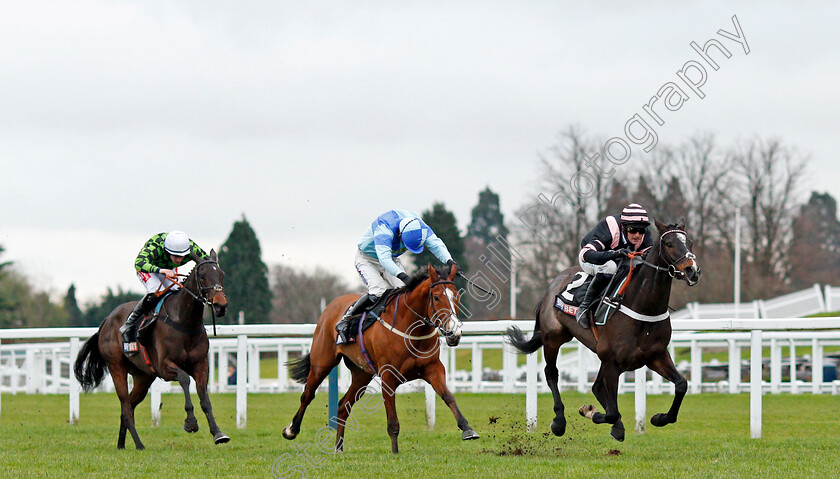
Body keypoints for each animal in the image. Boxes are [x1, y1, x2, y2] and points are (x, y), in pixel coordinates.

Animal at [72, 251, 228, 450]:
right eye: (202, 275)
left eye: (221, 274)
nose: (220, 305)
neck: (184, 323)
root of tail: (106, 321)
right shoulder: (165, 366)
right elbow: (184, 379)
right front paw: (191, 422)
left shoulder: (201, 365)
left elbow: (205, 398)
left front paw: (218, 433)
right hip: (117, 368)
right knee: (126, 407)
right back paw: (139, 445)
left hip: (143, 377)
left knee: (128, 407)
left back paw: (121, 445)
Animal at [284, 264, 476, 456]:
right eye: (436, 297)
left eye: (456, 296)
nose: (454, 333)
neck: (411, 328)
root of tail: (330, 307)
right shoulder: (388, 376)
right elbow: (392, 421)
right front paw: (395, 452)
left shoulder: (432, 368)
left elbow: (448, 396)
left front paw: (467, 429)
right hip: (322, 362)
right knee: (307, 395)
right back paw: (291, 430)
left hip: (361, 374)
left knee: (343, 405)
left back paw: (338, 448)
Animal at [506, 221, 704, 442]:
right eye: (669, 243)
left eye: (691, 242)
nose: (692, 270)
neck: (644, 308)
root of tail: (552, 286)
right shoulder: (612, 361)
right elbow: (611, 412)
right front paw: (589, 412)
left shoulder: (656, 356)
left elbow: (681, 384)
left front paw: (659, 418)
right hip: (553, 338)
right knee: (552, 373)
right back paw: (559, 421)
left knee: (597, 386)